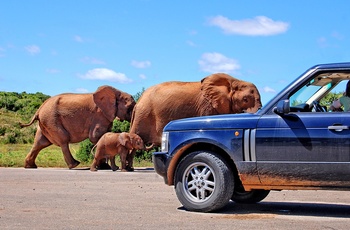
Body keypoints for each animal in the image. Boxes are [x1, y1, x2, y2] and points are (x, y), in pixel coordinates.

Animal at [127, 73, 262, 170]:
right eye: (245, 99)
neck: (234, 81)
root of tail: (139, 101)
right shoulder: (208, 107)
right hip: (143, 115)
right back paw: (129, 169)